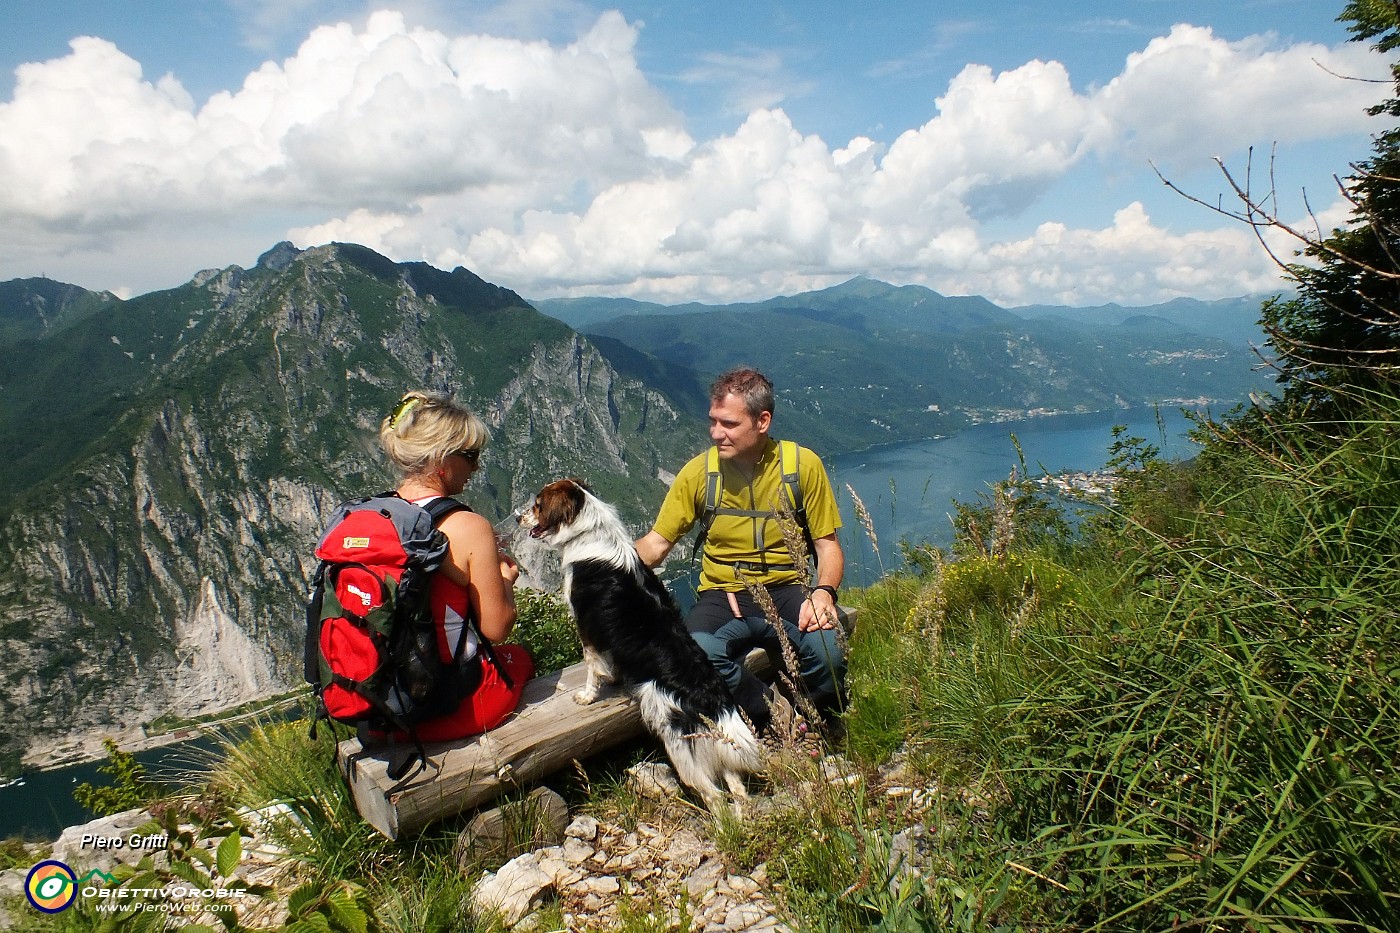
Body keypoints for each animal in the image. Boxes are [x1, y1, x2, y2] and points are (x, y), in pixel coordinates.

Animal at [523, 476, 767, 812]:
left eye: (537, 505)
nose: (518, 519)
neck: (589, 532)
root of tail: (712, 697)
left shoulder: (587, 627)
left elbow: (591, 667)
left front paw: (587, 696)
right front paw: (612, 679)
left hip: (679, 745)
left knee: (714, 795)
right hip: (713, 745)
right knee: (736, 788)